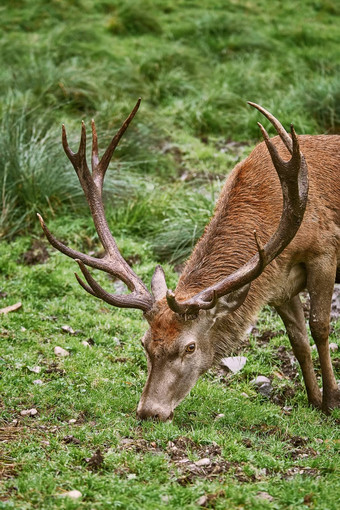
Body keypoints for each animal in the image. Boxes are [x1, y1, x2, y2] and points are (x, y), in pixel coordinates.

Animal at [37, 98, 340, 418]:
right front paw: (314, 400)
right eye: (145, 343)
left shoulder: (324, 251)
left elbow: (320, 326)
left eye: (190, 347)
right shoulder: (279, 283)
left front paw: (332, 401)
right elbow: (298, 339)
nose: (149, 411)